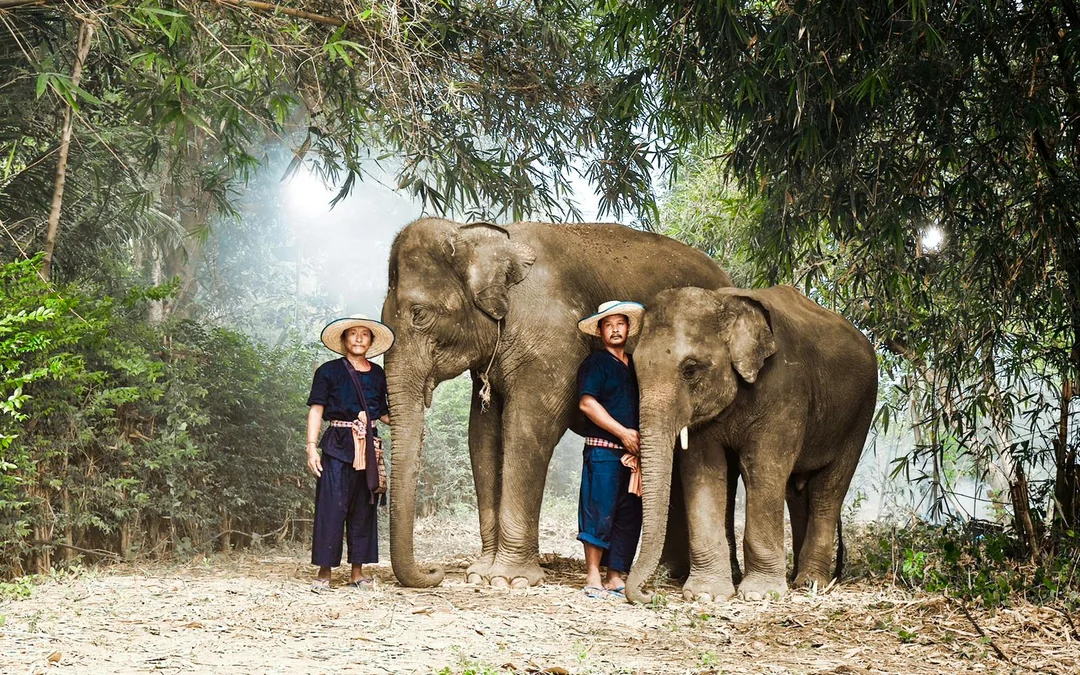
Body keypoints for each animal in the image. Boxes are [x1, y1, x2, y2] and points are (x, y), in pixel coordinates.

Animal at [380, 217, 731, 588]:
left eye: (419, 314)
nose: (434, 572)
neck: (480, 235)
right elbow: (482, 434)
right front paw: (480, 574)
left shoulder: (553, 340)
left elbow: (529, 426)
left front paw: (509, 580)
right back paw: (668, 574)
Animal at [625, 285, 878, 603]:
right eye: (634, 369)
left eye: (690, 369)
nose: (649, 594)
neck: (723, 302)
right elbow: (704, 470)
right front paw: (707, 595)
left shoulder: (785, 391)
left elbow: (762, 467)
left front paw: (760, 594)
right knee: (797, 493)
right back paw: (797, 579)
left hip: (859, 415)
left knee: (828, 490)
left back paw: (812, 583)